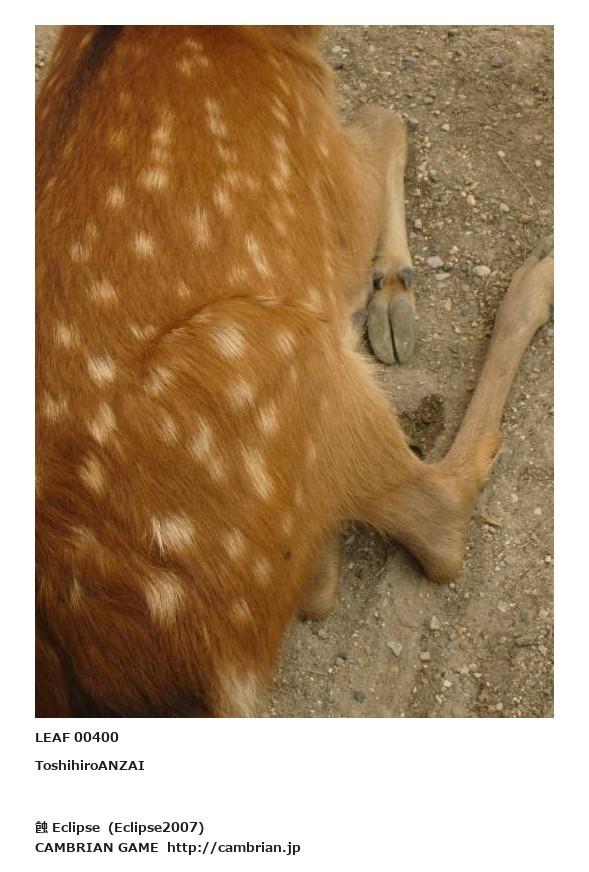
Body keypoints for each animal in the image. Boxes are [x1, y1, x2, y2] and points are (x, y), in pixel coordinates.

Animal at [35, 25, 553, 717]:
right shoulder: (327, 179)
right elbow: (385, 118)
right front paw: (391, 286)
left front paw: (389, 293)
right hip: (271, 348)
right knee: (440, 524)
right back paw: (536, 278)